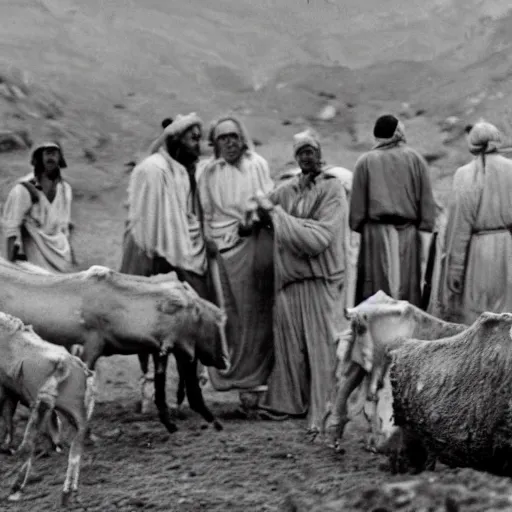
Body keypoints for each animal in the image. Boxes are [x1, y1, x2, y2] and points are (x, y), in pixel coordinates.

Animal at [0, 260, 230, 436]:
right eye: (211, 324)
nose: (224, 360)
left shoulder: (160, 349)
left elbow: (161, 384)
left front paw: (171, 422)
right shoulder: (90, 350)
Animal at [0, 310, 95, 502]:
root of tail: (66, 364)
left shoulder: (6, 390)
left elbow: (7, 419)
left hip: (41, 407)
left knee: (28, 445)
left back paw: (15, 489)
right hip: (77, 415)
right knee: (75, 451)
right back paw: (68, 491)